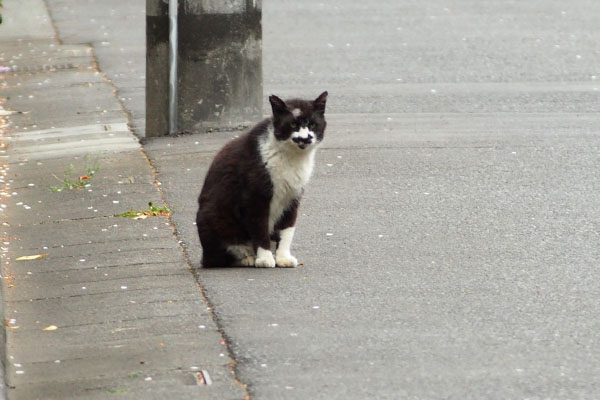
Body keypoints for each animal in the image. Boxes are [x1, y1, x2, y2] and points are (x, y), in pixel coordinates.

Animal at [197, 90, 328, 268]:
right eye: (293, 125)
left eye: (313, 125)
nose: (305, 138)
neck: (292, 157)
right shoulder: (255, 196)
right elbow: (259, 227)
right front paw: (265, 258)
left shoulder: (293, 196)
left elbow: (287, 228)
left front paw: (283, 257)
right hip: (214, 219)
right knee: (221, 257)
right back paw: (248, 258)